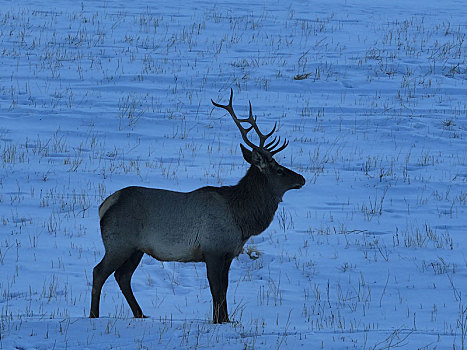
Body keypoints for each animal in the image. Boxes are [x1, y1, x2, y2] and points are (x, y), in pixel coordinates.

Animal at [89, 89, 306, 324]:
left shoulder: (228, 254)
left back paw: (140, 314)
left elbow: (224, 289)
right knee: (99, 272)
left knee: (123, 276)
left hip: (136, 248)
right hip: (118, 243)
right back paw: (94, 315)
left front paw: (225, 319)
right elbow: (216, 289)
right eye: (279, 170)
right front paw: (218, 320)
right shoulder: (213, 250)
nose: (302, 179)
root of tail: (104, 206)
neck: (241, 219)